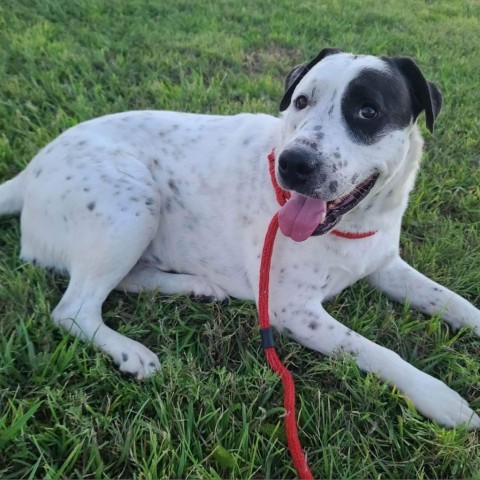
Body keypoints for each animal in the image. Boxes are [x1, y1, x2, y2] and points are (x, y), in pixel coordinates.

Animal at [0, 48, 480, 428]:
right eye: (301, 101)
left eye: (368, 112)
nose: (293, 163)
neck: (354, 221)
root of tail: (28, 172)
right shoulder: (293, 309)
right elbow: (376, 352)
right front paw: (441, 398)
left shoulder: (384, 265)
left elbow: (453, 302)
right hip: (132, 199)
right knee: (74, 310)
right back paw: (130, 351)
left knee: (123, 280)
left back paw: (196, 286)